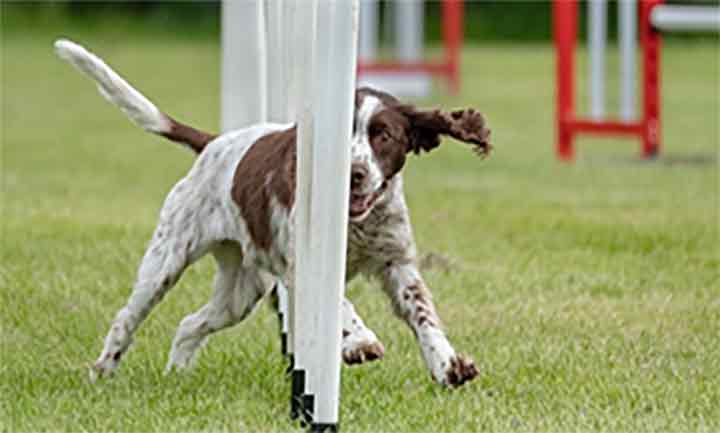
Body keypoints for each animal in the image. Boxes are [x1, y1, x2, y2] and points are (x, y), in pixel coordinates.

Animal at [56, 38, 492, 386]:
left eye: (383, 135)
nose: (354, 173)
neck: (359, 223)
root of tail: (214, 143)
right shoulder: (303, 267)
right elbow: (340, 305)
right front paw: (360, 342)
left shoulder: (396, 262)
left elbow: (423, 314)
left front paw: (447, 365)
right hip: (166, 261)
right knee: (127, 317)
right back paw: (102, 370)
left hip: (240, 289)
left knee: (189, 324)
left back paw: (177, 373)